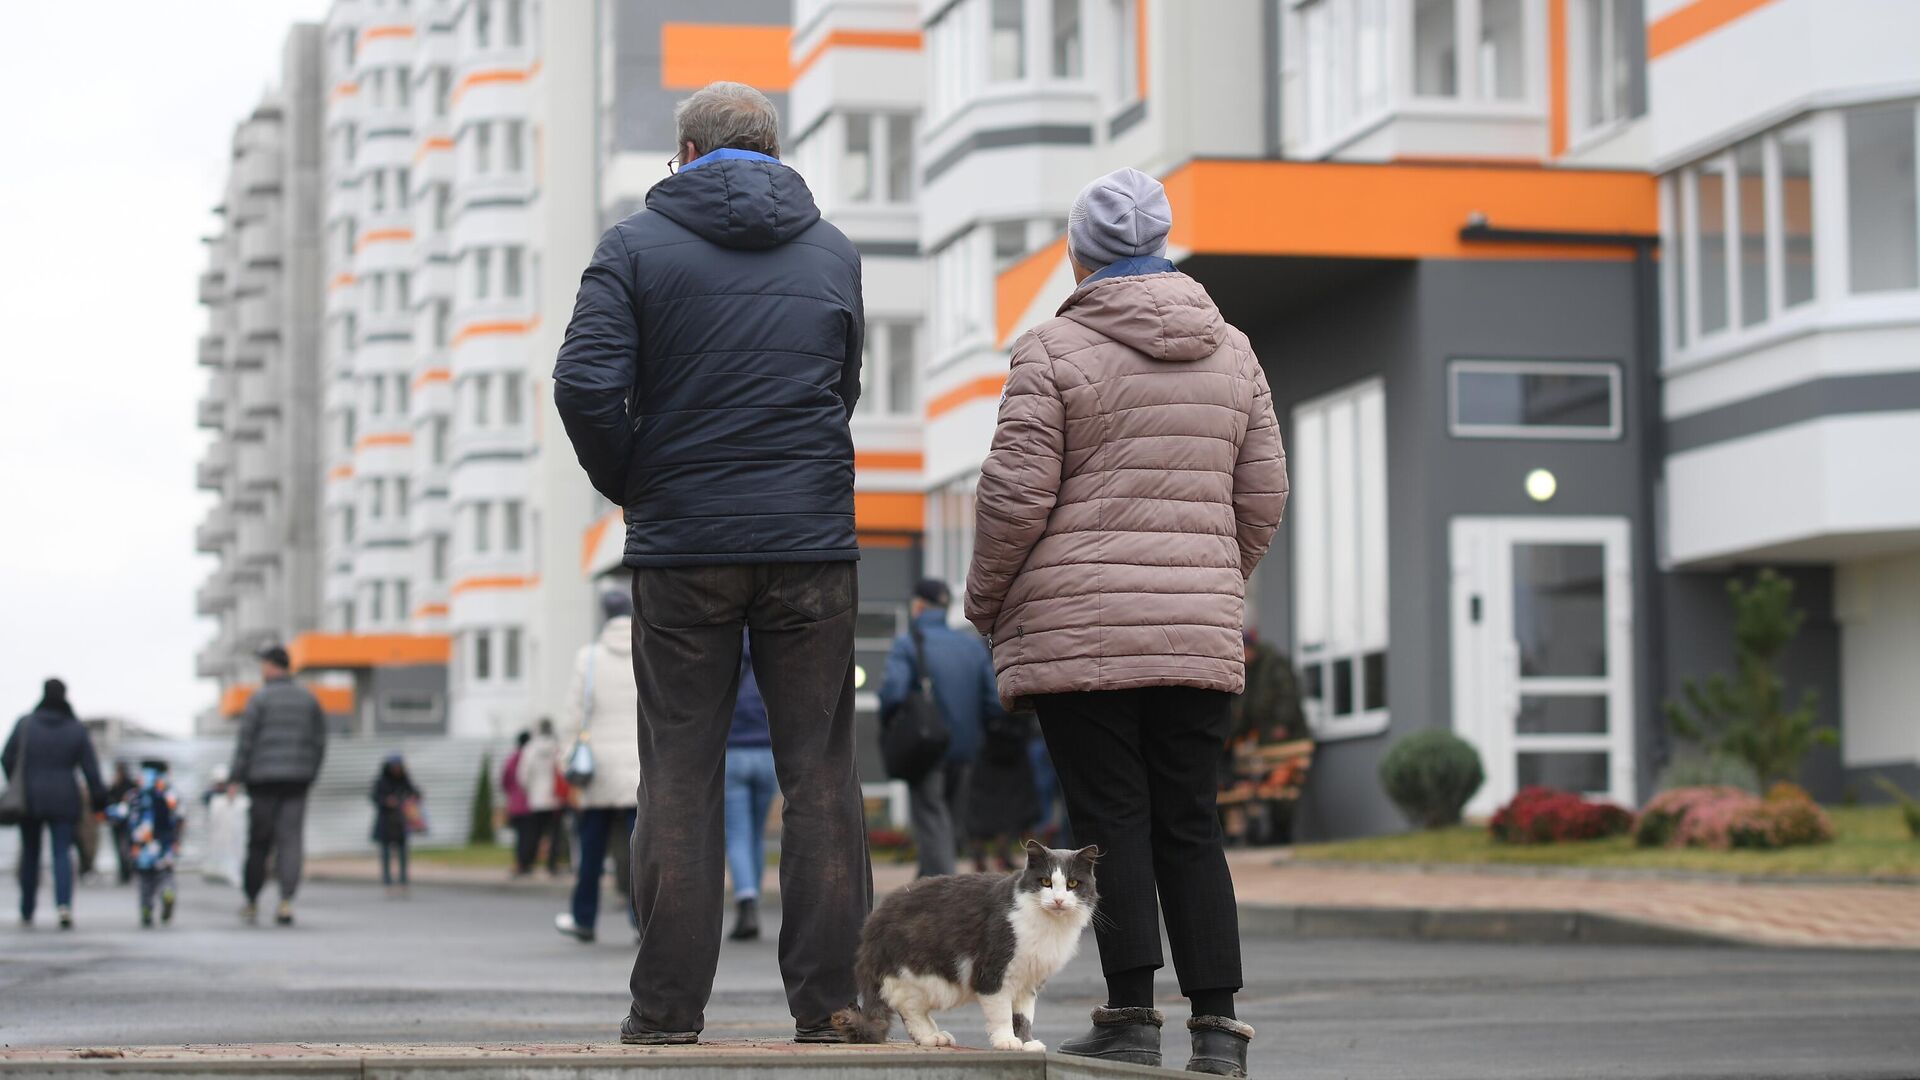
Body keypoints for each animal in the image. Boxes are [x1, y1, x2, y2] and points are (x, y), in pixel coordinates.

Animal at [833, 837, 1105, 1045]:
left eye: (1072, 883)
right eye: (1046, 882)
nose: (1058, 900)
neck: (1049, 927)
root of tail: (872, 926)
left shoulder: (1029, 981)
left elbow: (1024, 1017)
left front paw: (1027, 1044)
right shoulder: (993, 974)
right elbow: (1003, 1014)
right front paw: (1007, 1041)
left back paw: (936, 1036)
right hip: (920, 977)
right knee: (907, 1007)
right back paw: (930, 1037)